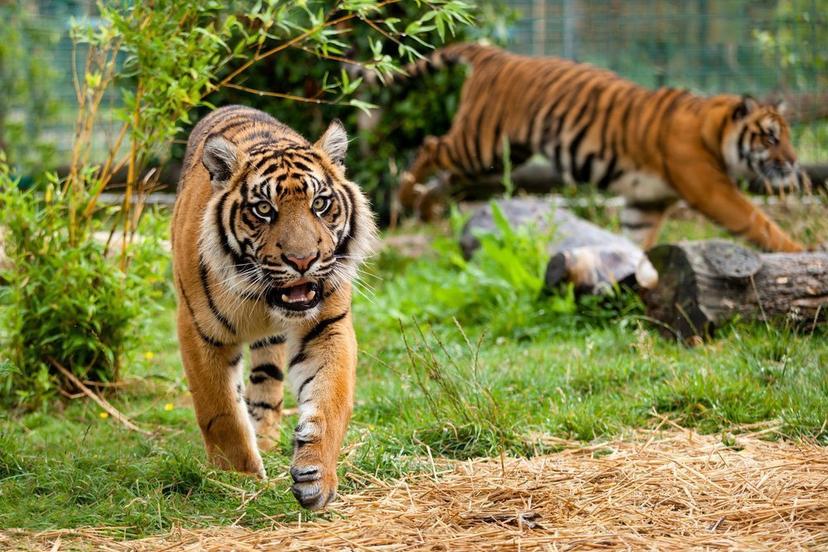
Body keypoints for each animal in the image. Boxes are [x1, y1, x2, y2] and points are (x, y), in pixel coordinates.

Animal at [172, 105, 377, 510]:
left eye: (320, 204)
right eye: (264, 209)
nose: (303, 261)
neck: (262, 298)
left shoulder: (327, 326)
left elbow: (331, 401)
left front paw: (316, 477)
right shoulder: (198, 331)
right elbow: (220, 410)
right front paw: (238, 479)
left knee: (267, 388)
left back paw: (266, 439)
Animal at [388, 43, 807, 252]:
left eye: (787, 136)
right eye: (771, 137)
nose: (793, 162)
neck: (714, 130)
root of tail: (497, 54)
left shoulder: (647, 202)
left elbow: (637, 240)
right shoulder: (711, 189)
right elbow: (758, 222)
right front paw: (799, 254)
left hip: (497, 157)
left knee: (447, 178)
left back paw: (427, 209)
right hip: (481, 143)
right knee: (430, 146)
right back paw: (405, 197)